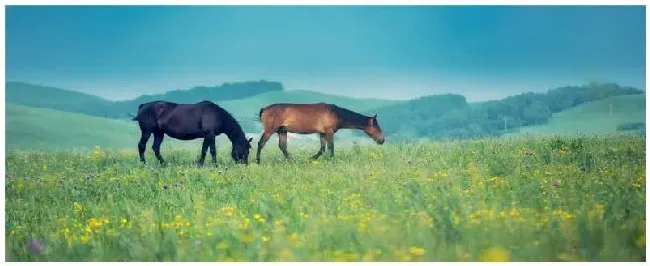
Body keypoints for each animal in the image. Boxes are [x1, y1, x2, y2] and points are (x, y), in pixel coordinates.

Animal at [254, 102, 384, 163]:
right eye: (377, 127)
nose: (382, 140)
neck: (336, 114)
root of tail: (264, 109)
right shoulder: (329, 132)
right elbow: (331, 147)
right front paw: (332, 160)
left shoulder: (322, 133)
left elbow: (322, 148)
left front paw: (312, 158)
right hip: (270, 130)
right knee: (261, 143)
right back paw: (258, 161)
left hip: (282, 131)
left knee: (283, 147)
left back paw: (292, 161)